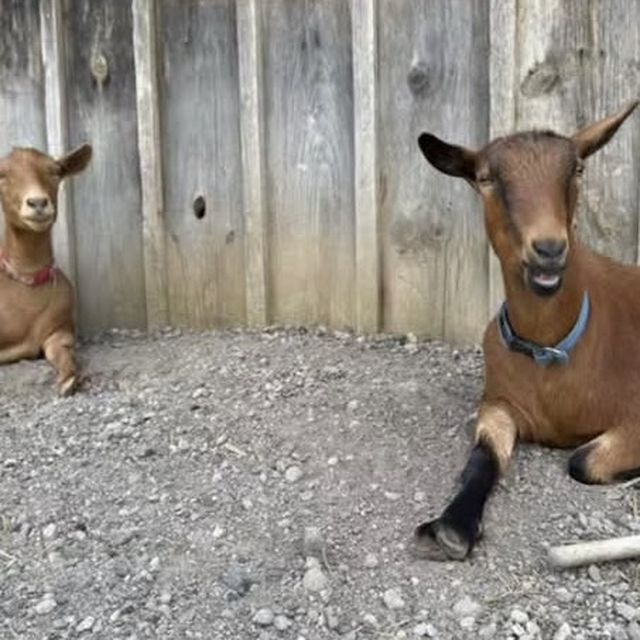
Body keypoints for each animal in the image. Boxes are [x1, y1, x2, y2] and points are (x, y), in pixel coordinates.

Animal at [0, 145, 92, 395]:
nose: (38, 203)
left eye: (54, 171)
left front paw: (69, 378)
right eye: (2, 175)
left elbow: (61, 349)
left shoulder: (60, 328)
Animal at [412, 101, 640, 561]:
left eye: (578, 169)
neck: (551, 349)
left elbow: (583, 461)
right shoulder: (498, 402)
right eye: (485, 178)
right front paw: (451, 526)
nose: (549, 249)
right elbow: (483, 456)